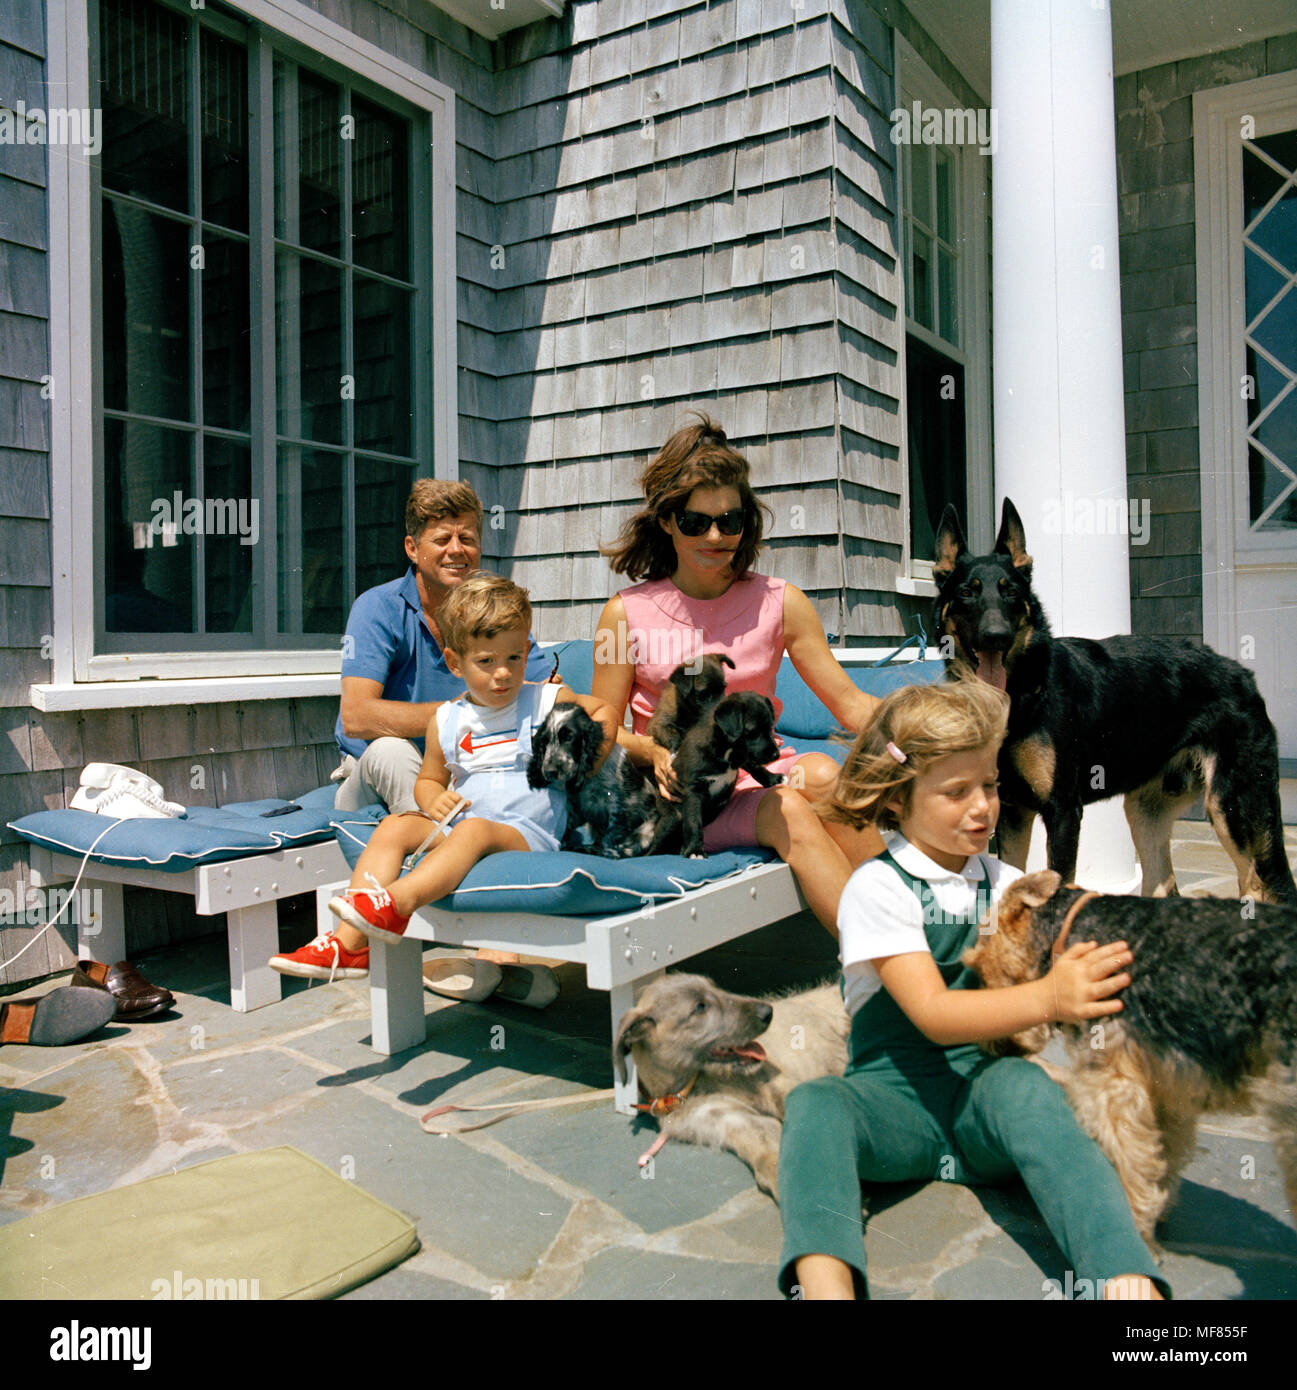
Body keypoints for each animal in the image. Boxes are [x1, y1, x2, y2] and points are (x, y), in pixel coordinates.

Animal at [522, 706, 683, 856]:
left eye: (569, 738)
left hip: (646, 830)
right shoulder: (575, 806)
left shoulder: (617, 804)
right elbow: (567, 827)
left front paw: (605, 852)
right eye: (544, 741)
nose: (549, 771)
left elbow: (611, 835)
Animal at [667, 686, 778, 850]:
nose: (777, 754)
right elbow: (693, 820)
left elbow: (755, 766)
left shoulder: (741, 755)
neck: (726, 751)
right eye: (753, 732)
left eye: (770, 727)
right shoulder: (692, 789)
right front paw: (694, 849)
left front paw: (774, 778)